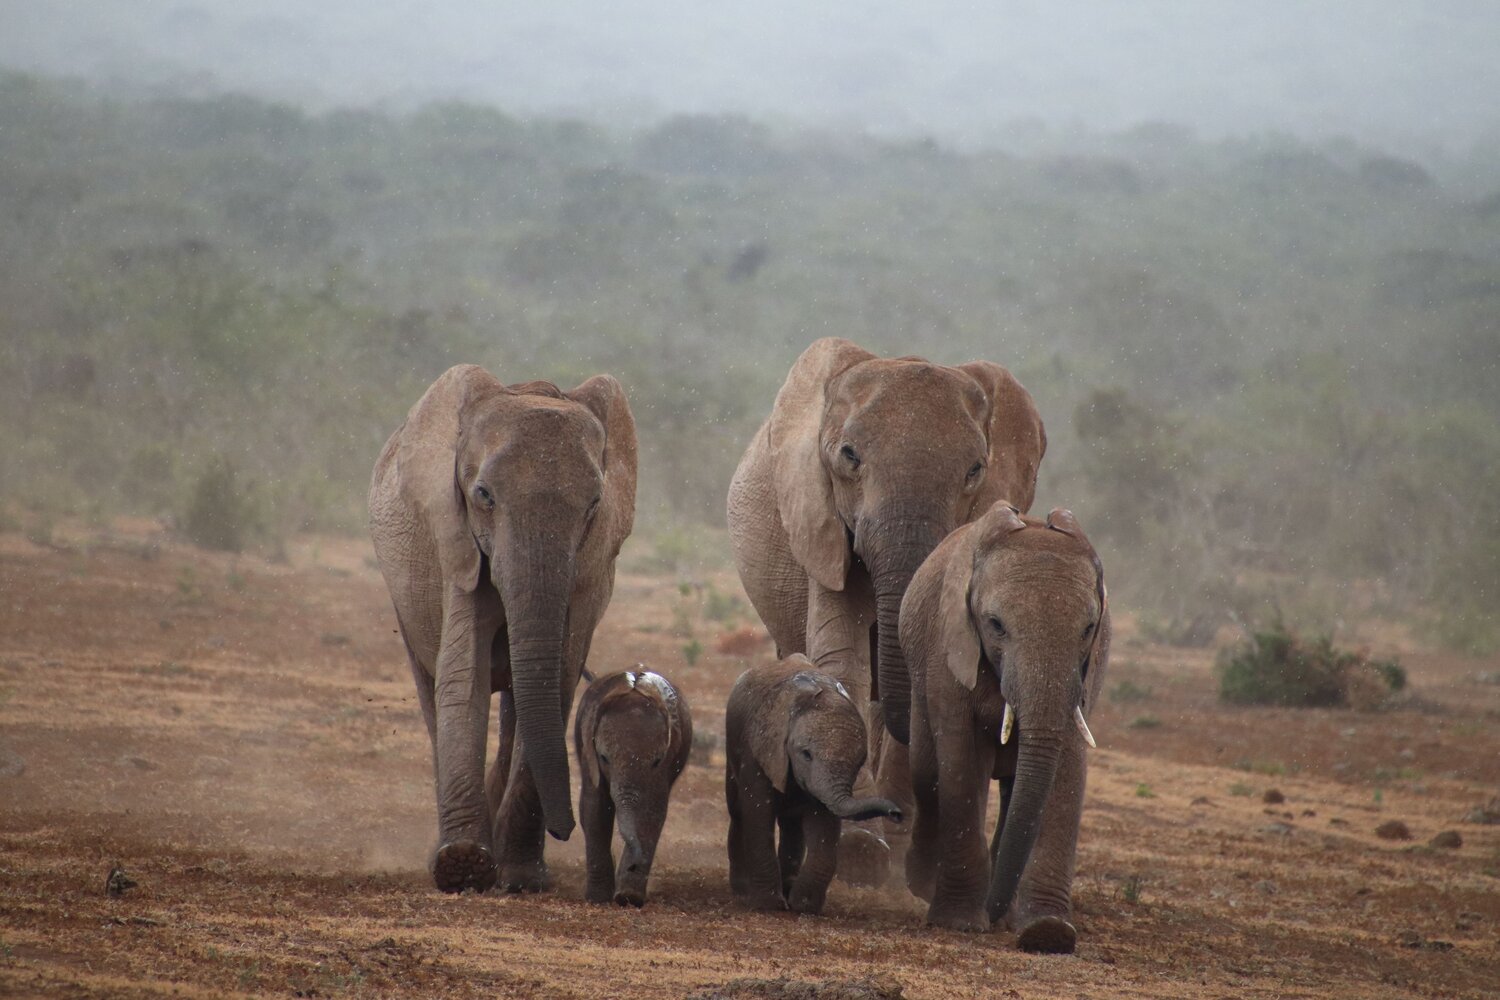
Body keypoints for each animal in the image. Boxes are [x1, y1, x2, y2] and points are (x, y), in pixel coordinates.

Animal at [368, 364, 636, 893]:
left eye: (594, 505)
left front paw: (520, 879)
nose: (565, 829)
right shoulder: (457, 546)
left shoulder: (590, 573)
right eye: (483, 496)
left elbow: (556, 681)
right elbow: (462, 674)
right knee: (431, 691)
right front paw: (463, 865)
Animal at [573, 668, 693, 908]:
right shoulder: (589, 756)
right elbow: (594, 810)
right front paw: (598, 899)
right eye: (604, 758)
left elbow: (653, 811)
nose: (633, 864)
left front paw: (628, 897)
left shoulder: (665, 765)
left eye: (657, 761)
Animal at [724, 655, 904, 915]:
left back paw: (787, 888)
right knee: (738, 812)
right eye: (806, 755)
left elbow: (824, 824)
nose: (897, 813)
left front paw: (804, 905)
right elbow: (759, 813)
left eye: (859, 762)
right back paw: (742, 891)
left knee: (791, 824)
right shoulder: (759, 749)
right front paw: (769, 905)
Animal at [725, 337, 1045, 880]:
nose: (891, 813)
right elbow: (843, 658)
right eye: (848, 455)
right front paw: (858, 851)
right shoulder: (823, 519)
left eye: (975, 470)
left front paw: (891, 846)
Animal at [899, 502, 1108, 952]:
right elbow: (960, 765)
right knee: (925, 774)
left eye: (1088, 629)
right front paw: (959, 923)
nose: (992, 914)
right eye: (995, 625)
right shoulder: (949, 649)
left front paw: (1048, 931)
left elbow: (1068, 769)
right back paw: (924, 885)